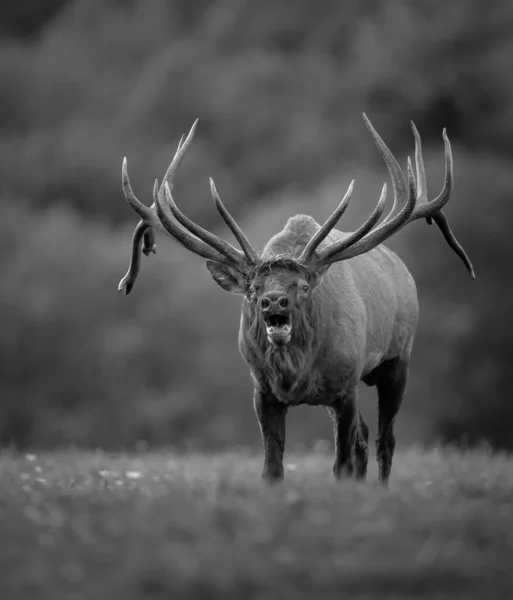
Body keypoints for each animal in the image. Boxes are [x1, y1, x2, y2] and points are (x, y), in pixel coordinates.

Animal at [118, 115, 474, 486]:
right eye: (253, 288)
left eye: (303, 286)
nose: (274, 302)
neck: (297, 373)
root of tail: (403, 271)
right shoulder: (263, 392)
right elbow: (272, 469)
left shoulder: (345, 386)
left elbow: (341, 464)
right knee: (364, 439)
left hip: (397, 358)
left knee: (384, 440)